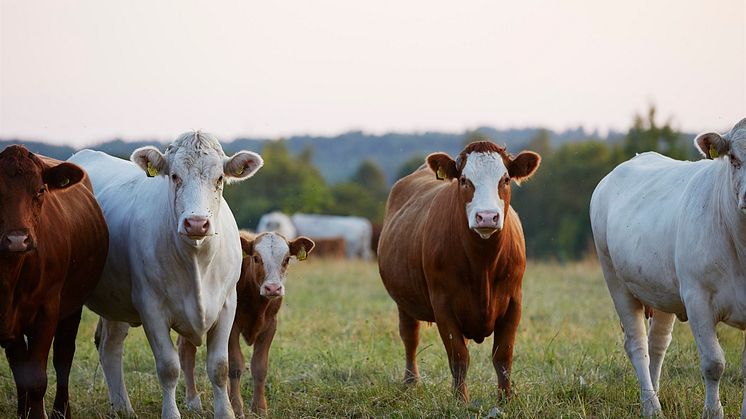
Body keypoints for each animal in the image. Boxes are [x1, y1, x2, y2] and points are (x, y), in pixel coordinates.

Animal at [0, 145, 108, 419]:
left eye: (40, 190)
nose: (17, 240)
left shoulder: (47, 310)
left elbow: (37, 379)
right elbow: (22, 374)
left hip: (71, 308)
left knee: (63, 358)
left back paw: (62, 411)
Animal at [70, 132, 262, 419]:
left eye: (219, 178)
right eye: (174, 176)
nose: (196, 223)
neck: (196, 261)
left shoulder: (228, 303)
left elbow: (219, 366)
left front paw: (225, 413)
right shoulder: (151, 308)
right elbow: (169, 367)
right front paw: (171, 413)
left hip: (115, 302)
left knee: (110, 347)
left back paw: (123, 407)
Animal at [180, 231, 314, 418]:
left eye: (287, 259)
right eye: (256, 258)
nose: (273, 288)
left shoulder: (270, 326)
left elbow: (259, 366)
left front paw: (260, 408)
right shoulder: (232, 326)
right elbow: (235, 366)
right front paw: (236, 407)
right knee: (186, 353)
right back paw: (193, 402)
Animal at [374, 142, 536, 404]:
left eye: (505, 179)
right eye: (463, 180)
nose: (487, 216)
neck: (483, 264)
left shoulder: (514, 302)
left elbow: (503, 356)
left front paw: (505, 399)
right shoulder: (443, 305)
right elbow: (459, 356)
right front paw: (460, 400)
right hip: (404, 301)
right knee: (410, 336)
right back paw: (411, 381)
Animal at [588, 119, 744, 419]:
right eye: (733, 158)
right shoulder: (698, 298)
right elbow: (713, 363)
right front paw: (712, 412)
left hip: (660, 291)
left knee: (657, 344)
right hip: (615, 280)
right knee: (637, 345)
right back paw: (651, 406)